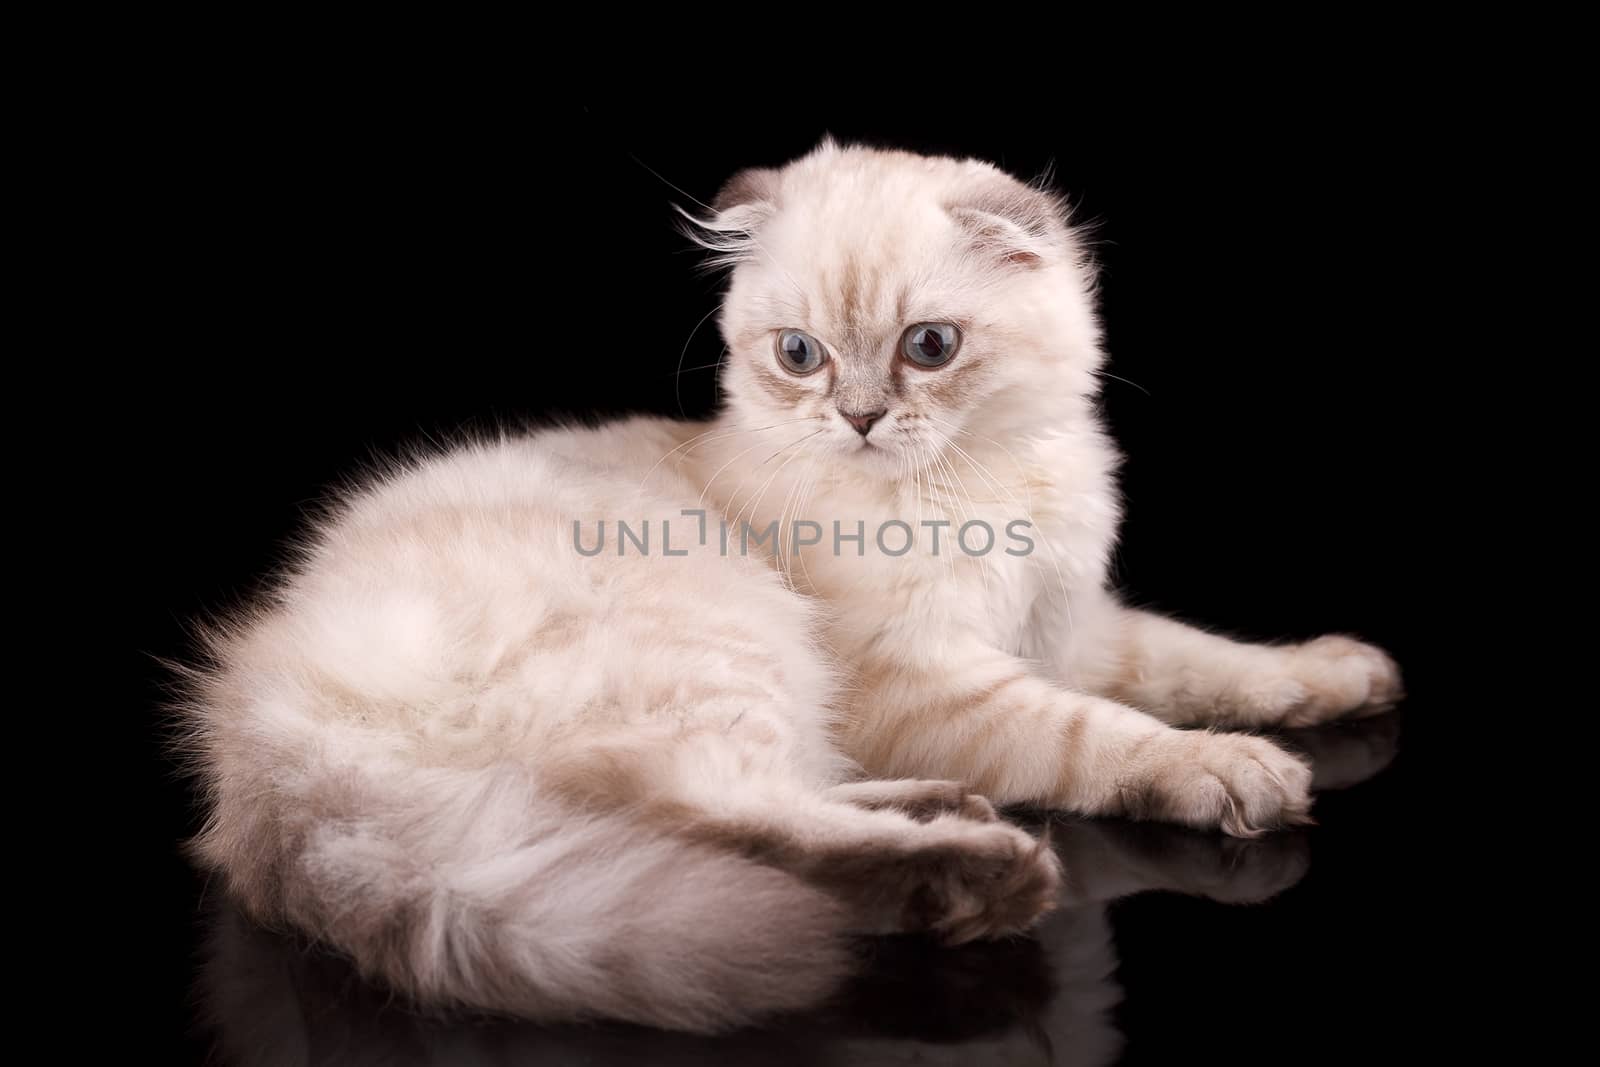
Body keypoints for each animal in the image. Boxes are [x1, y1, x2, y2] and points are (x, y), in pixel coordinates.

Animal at [178, 139, 1401, 1036]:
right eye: (800, 354)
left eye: (928, 346)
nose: (856, 418)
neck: (986, 479)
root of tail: (261, 712)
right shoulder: (933, 680)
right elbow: (1103, 735)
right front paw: (1233, 771)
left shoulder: (1069, 630)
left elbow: (1206, 658)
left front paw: (1342, 676)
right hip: (722, 645)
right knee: (708, 811)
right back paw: (974, 874)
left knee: (732, 803)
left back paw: (942, 820)